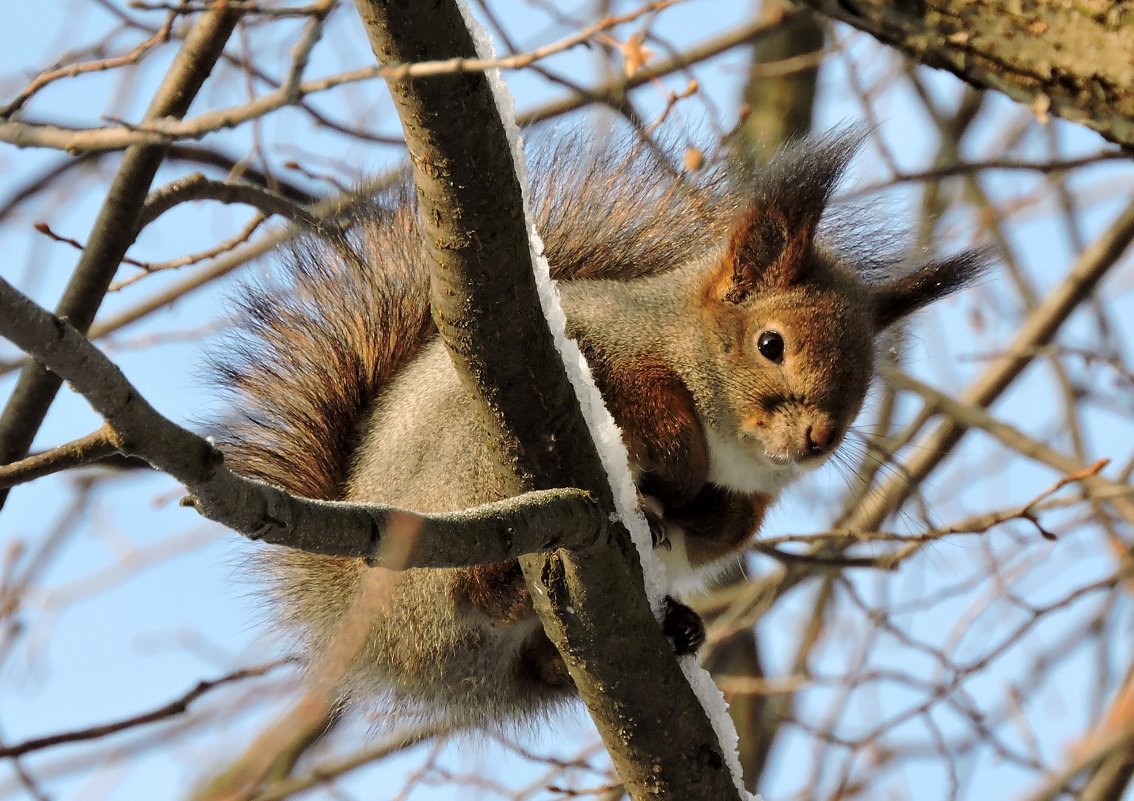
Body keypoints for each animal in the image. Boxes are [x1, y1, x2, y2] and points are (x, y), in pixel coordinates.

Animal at [213, 132, 984, 726]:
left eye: (867, 379)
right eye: (771, 343)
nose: (819, 439)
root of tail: (361, 613)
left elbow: (726, 531)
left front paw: (713, 512)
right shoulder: (605, 351)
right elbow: (648, 407)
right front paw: (673, 463)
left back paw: (673, 625)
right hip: (468, 470)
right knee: (476, 587)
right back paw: (516, 580)